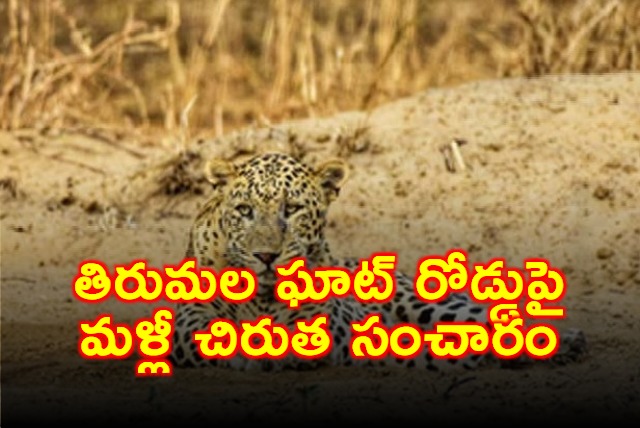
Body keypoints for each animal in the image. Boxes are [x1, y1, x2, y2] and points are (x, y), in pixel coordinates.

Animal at [169, 152, 586, 371]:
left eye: (293, 209)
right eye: (244, 210)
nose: (266, 256)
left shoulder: (328, 324)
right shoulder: (189, 321)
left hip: (428, 304)